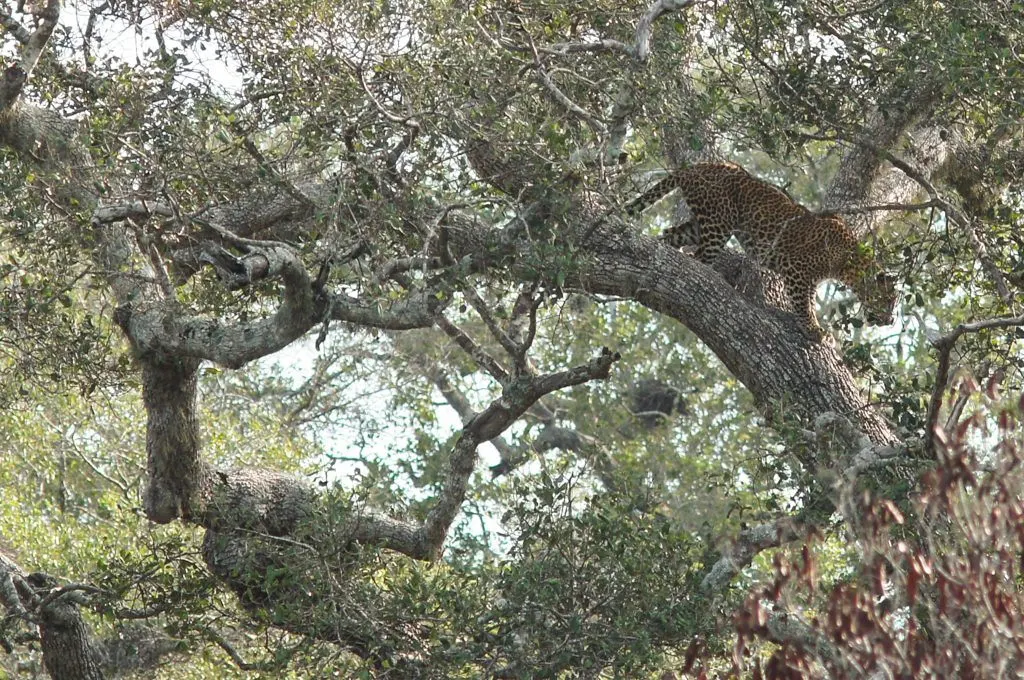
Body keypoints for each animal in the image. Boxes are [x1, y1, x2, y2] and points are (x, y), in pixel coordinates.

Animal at [622, 162, 897, 337]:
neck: (848, 263)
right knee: (699, 257)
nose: (891, 320)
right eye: (888, 300)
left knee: (670, 234)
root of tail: (695, 165)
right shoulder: (797, 270)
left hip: (701, 224)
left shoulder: (809, 279)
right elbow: (803, 304)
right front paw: (813, 330)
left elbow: (808, 300)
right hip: (718, 222)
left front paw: (814, 327)